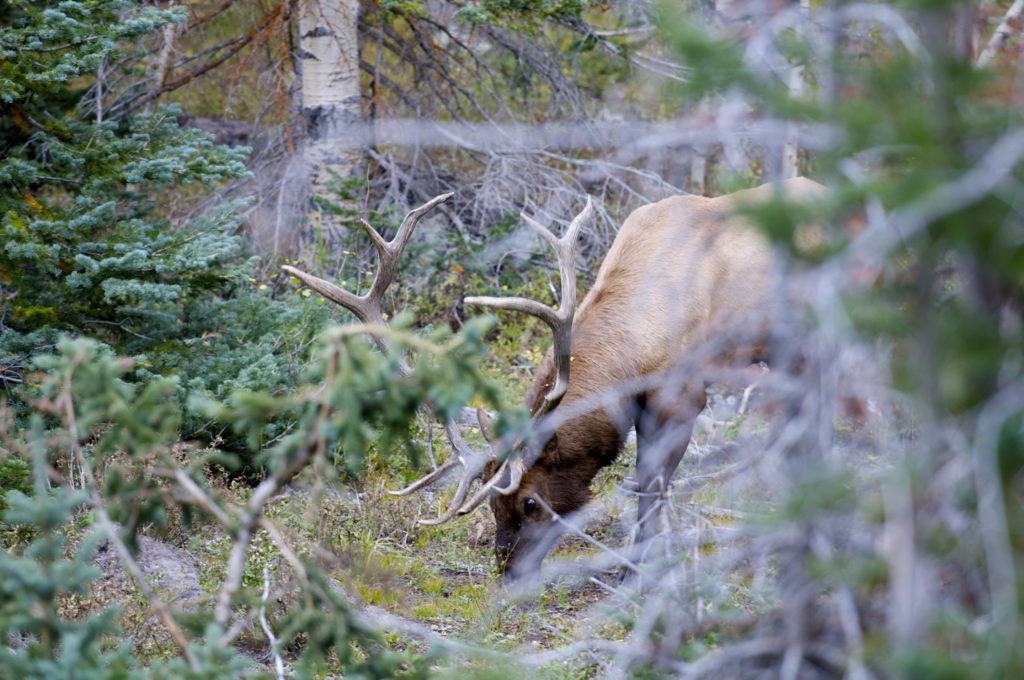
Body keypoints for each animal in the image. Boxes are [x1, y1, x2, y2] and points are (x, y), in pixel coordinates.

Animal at [284, 178, 827, 581]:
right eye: (490, 501)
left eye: (529, 501)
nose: (507, 572)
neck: (640, 336)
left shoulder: (683, 394)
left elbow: (650, 487)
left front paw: (638, 571)